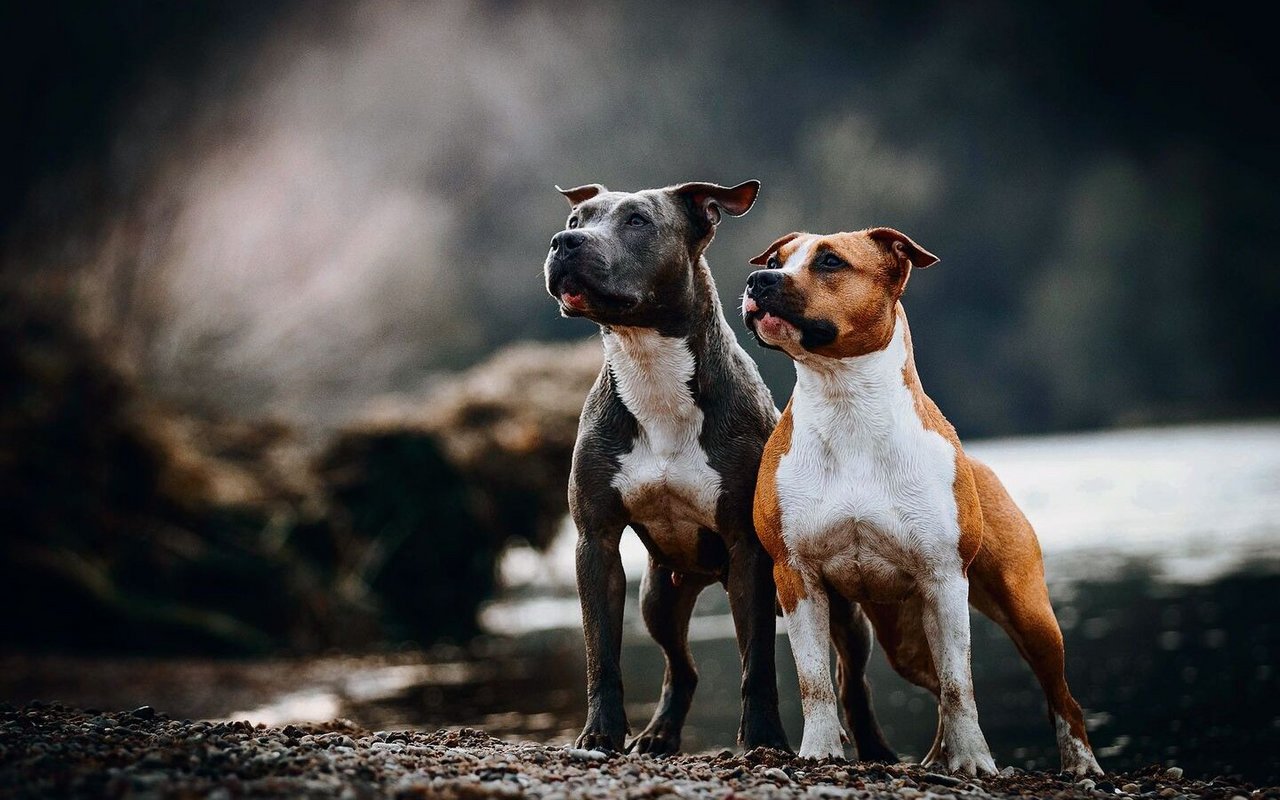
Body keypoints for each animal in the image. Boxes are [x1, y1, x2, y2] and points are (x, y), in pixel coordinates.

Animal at [545, 177, 896, 757]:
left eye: (637, 221)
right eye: (577, 221)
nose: (563, 243)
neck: (650, 370)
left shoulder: (747, 549)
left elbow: (757, 664)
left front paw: (764, 738)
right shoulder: (596, 542)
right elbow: (602, 654)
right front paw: (600, 733)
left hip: (841, 605)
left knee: (853, 679)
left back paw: (874, 746)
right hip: (659, 596)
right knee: (681, 668)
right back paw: (659, 733)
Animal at [747, 227, 1105, 778]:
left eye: (830, 262)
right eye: (774, 261)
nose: (757, 281)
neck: (845, 402)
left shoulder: (943, 579)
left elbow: (961, 685)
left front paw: (976, 760)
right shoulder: (795, 575)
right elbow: (815, 682)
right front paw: (820, 751)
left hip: (1028, 613)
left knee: (1058, 694)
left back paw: (1081, 764)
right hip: (904, 639)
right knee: (933, 686)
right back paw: (938, 759)